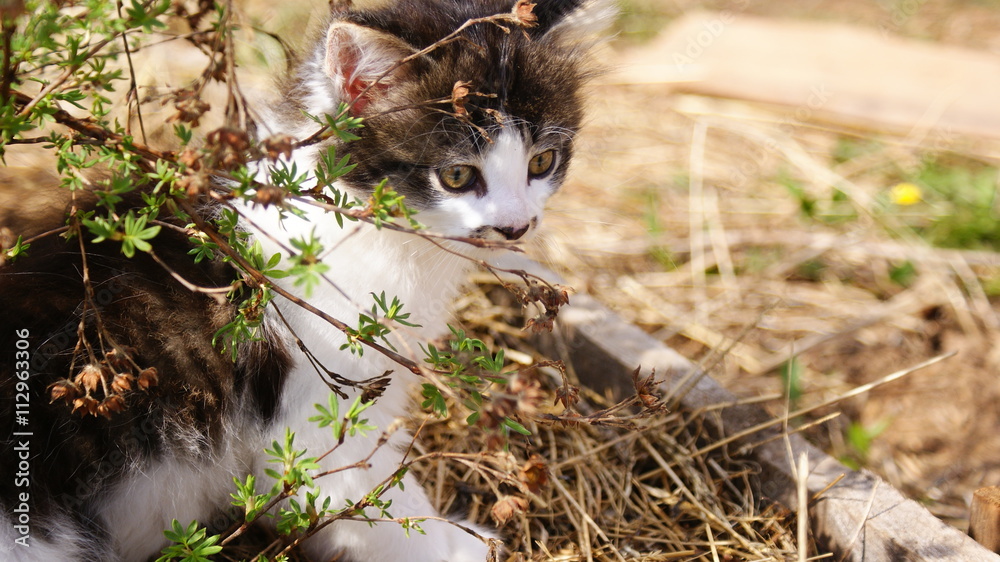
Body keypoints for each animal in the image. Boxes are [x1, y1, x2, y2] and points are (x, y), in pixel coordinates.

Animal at [0, 0, 612, 556]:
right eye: (458, 175)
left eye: (542, 162)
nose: (516, 227)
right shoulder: (314, 415)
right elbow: (378, 503)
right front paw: (457, 542)